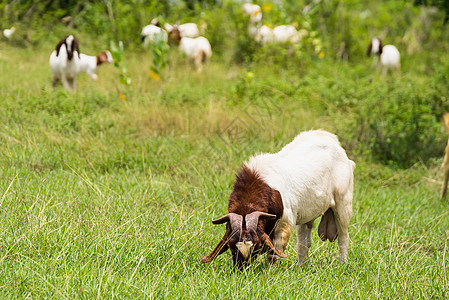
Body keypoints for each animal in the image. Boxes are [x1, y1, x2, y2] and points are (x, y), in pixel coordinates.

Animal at [201, 130, 356, 268]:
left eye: (256, 246)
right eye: (231, 245)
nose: (242, 270)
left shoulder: (284, 223)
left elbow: (274, 253)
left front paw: (270, 270)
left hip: (343, 202)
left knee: (343, 235)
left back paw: (342, 264)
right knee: (304, 242)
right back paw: (298, 266)